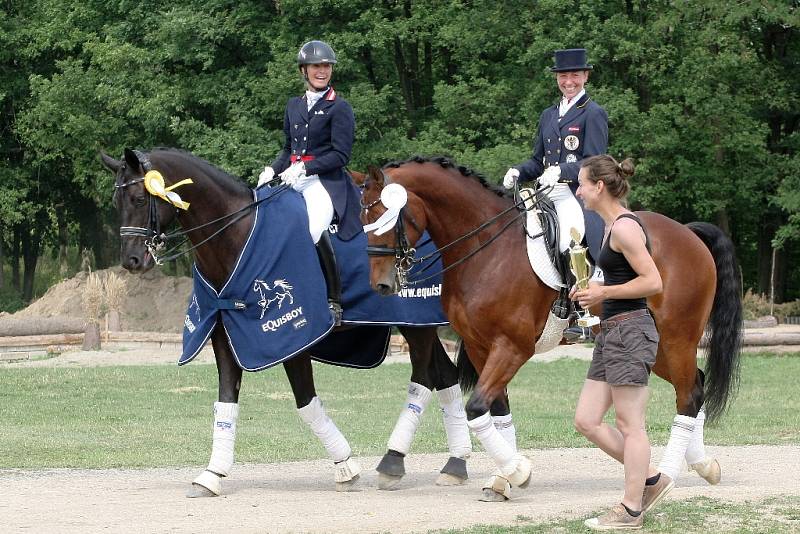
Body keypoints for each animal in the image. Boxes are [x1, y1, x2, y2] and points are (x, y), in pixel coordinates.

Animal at [101, 148, 476, 498]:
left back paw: (393, 462)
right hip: (418, 326)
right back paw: (455, 464)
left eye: (139, 199)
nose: (131, 260)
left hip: (414, 324)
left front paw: (345, 467)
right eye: (117, 201)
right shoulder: (226, 332)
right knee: (445, 376)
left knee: (423, 378)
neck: (236, 235)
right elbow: (226, 403)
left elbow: (307, 403)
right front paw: (211, 475)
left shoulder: (293, 338)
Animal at [360, 155, 740, 502]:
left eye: (384, 217)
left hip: (677, 337)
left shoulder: (512, 347)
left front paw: (517, 471)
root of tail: (687, 232)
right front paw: (502, 479)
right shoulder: (482, 346)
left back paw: (670, 474)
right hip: (659, 345)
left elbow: (477, 407)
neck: (486, 249)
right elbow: (497, 411)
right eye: (363, 220)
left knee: (688, 394)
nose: (381, 285)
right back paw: (704, 464)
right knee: (695, 385)